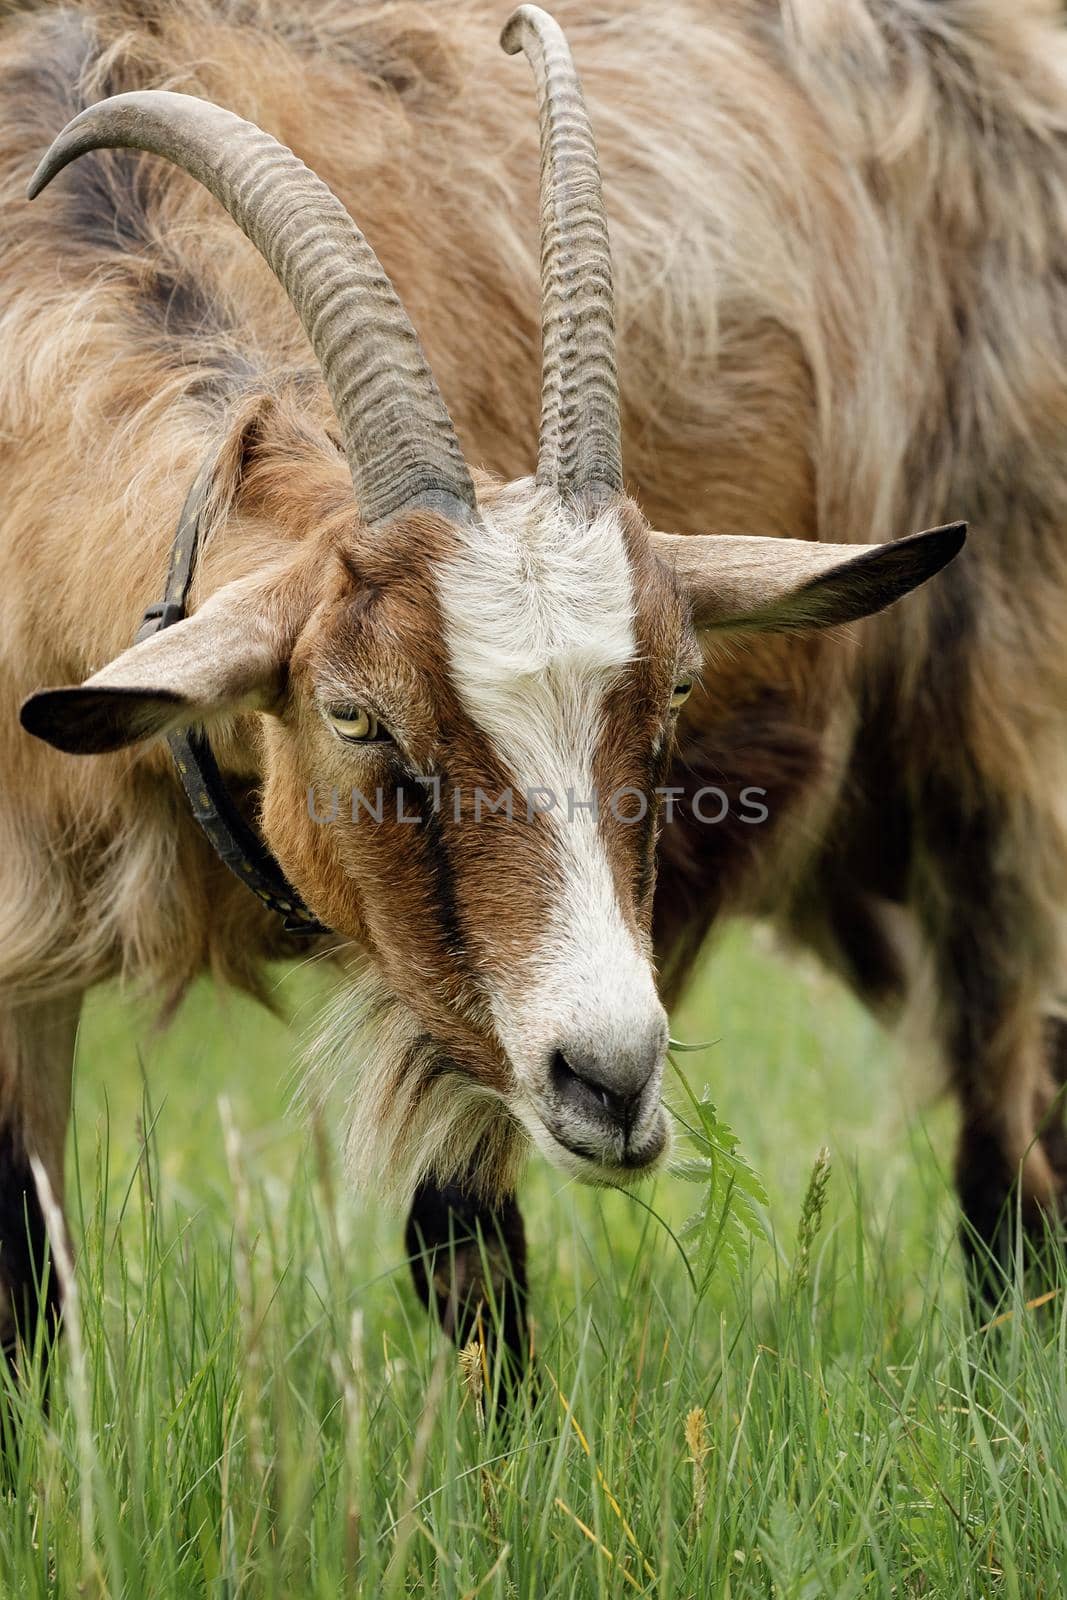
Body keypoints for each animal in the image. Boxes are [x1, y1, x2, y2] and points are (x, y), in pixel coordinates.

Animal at [2, 0, 1062, 1369]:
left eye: (675, 692)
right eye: (354, 715)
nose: (612, 1078)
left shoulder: (455, 1006)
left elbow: (469, 1259)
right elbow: (27, 1272)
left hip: (992, 756)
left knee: (1007, 1134)